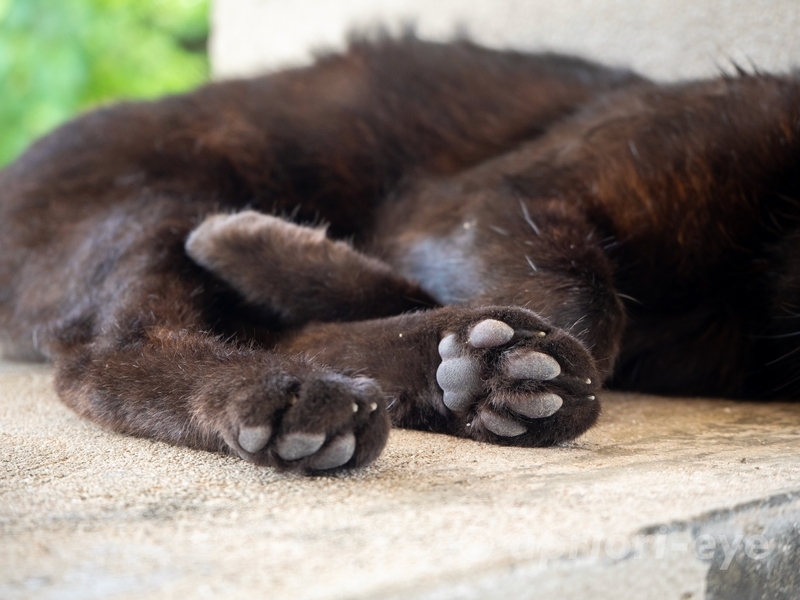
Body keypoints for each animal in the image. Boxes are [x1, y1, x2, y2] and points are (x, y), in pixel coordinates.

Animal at [1, 37, 800, 472]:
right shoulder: (478, 197)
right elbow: (588, 314)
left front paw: (472, 373)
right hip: (158, 196)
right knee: (113, 355)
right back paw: (300, 394)